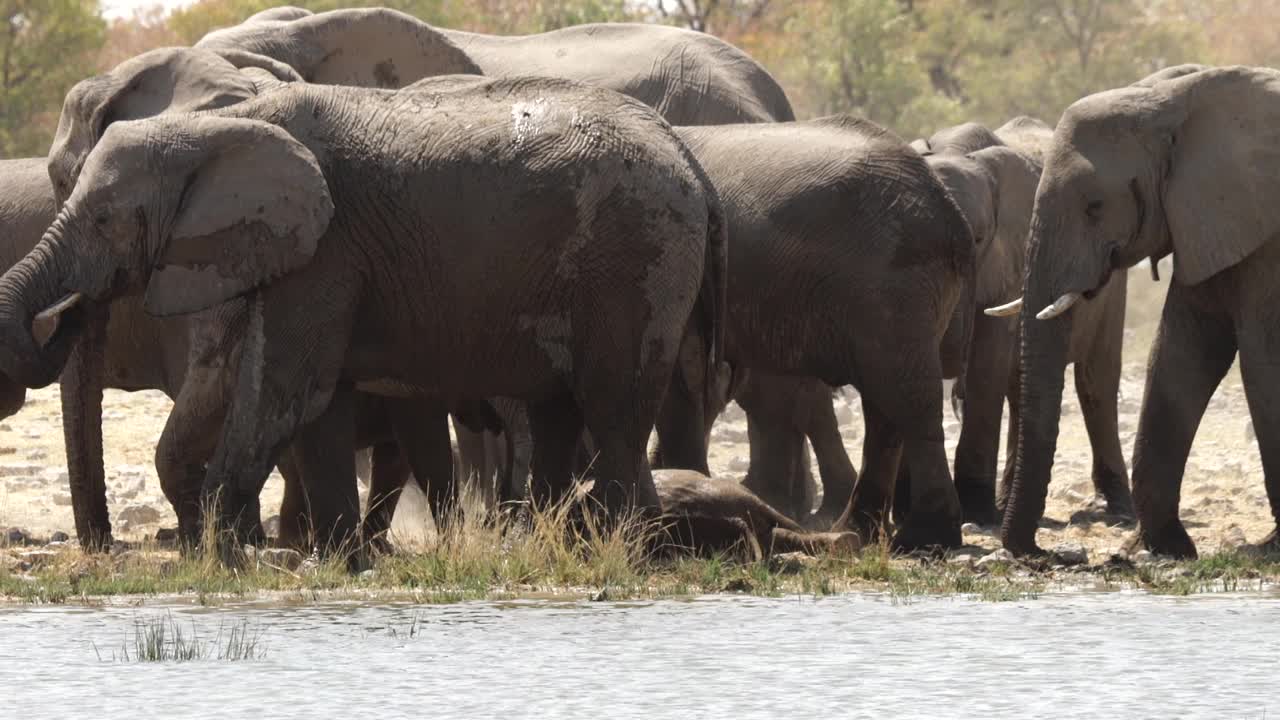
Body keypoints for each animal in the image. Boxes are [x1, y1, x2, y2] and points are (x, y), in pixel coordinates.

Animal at [0, 77, 727, 548]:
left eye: (104, 219)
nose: (69, 311)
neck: (224, 121)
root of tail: (689, 155)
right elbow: (319, 408)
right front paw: (339, 564)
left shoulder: (326, 250)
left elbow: (287, 392)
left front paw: (225, 561)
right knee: (560, 416)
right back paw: (562, 552)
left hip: (636, 260)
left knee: (612, 413)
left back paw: (618, 554)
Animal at [655, 114, 972, 545]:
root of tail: (951, 213)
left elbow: (682, 379)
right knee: (885, 404)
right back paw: (856, 531)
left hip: (893, 284)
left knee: (907, 398)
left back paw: (923, 537)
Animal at [993, 64, 1280, 556]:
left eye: (1094, 207)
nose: (1035, 553)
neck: (1175, 99)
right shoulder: (1208, 220)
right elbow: (1179, 355)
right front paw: (1165, 547)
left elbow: (1262, 365)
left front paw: (1270, 548)